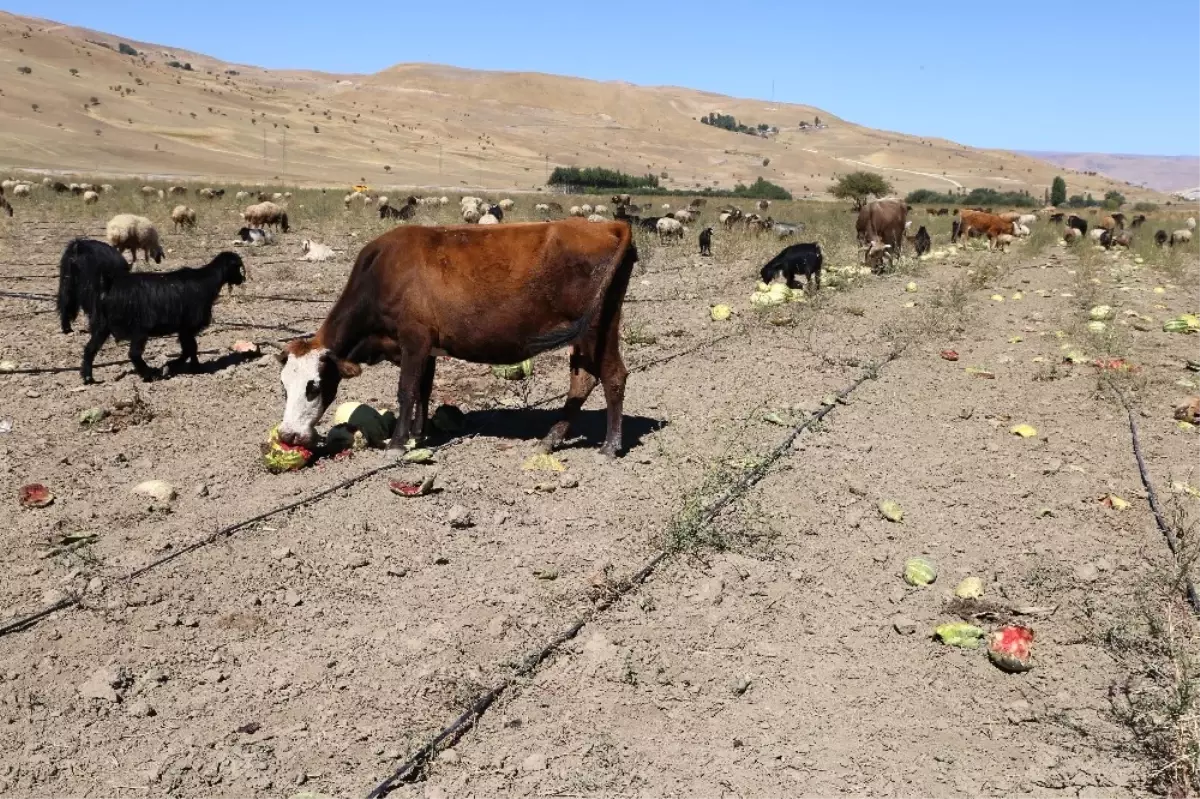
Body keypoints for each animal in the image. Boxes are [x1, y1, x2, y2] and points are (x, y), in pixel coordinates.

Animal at [79, 251, 246, 383]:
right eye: (238, 267)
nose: (242, 280)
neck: (207, 281)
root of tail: (109, 285)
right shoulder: (187, 326)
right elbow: (190, 348)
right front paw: (174, 365)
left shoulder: (184, 329)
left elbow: (190, 348)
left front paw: (194, 367)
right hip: (139, 328)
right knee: (134, 353)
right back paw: (149, 374)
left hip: (102, 326)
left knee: (89, 349)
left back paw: (88, 378)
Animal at [278, 218, 638, 453]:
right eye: (284, 387)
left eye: (314, 386)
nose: (287, 435)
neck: (381, 273)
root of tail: (610, 225)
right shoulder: (427, 348)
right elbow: (423, 390)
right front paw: (419, 434)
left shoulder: (414, 338)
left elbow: (406, 390)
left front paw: (398, 443)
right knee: (583, 380)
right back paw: (551, 439)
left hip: (598, 327)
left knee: (612, 375)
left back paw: (610, 446)